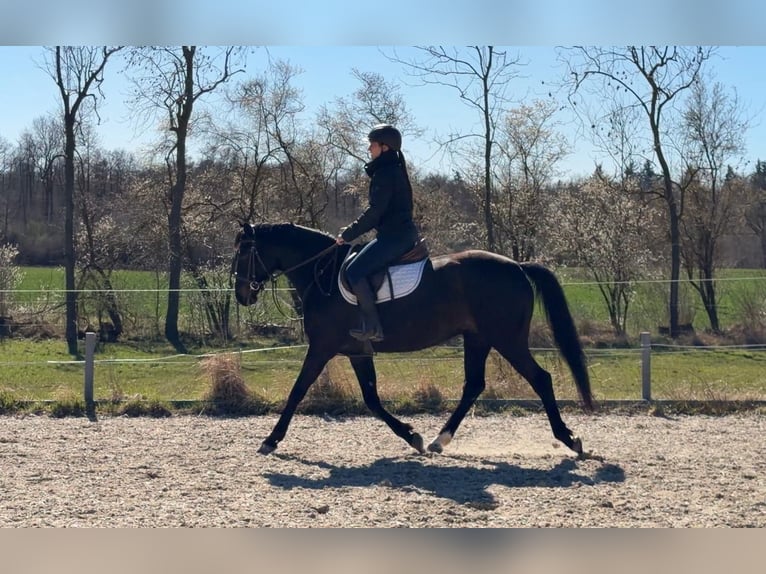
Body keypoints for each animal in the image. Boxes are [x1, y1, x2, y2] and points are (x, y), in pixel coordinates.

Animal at [232, 222, 593, 456]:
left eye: (244, 254)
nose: (241, 296)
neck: (323, 275)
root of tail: (517, 266)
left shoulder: (322, 348)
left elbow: (297, 391)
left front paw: (271, 440)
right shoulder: (357, 352)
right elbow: (372, 400)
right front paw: (412, 436)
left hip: (507, 339)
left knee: (540, 379)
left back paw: (570, 439)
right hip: (478, 338)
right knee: (473, 385)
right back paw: (438, 441)